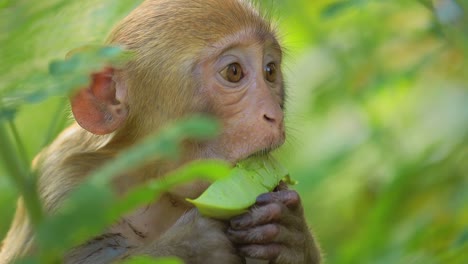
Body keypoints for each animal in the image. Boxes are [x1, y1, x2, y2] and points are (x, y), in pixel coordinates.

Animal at [0, 0, 320, 264]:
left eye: (270, 71)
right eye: (234, 72)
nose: (274, 115)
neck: (151, 179)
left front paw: (291, 235)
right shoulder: (63, 190)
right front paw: (193, 244)